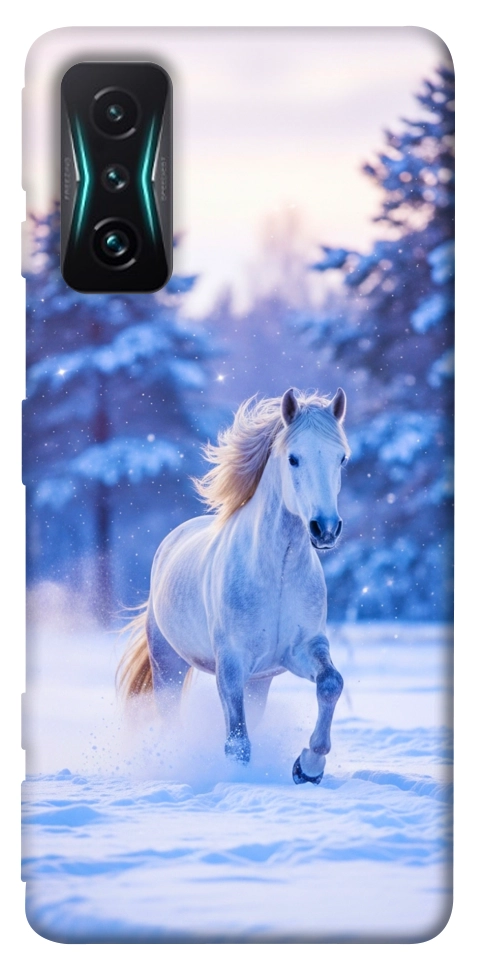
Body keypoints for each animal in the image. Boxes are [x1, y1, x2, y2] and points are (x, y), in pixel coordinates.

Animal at [118, 387, 350, 784]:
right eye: (294, 458)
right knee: (171, 717)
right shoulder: (231, 664)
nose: (325, 529)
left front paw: (308, 767)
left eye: (341, 459)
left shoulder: (301, 649)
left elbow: (331, 683)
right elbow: (237, 742)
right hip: (168, 665)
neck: (277, 573)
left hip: (259, 682)